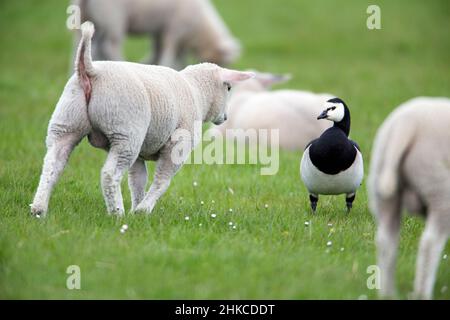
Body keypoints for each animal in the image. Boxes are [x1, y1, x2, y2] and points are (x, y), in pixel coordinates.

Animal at [31, 21, 253, 218]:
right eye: (229, 87)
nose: (225, 117)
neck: (197, 92)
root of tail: (91, 70)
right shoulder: (176, 147)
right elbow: (162, 181)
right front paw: (143, 210)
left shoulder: (140, 153)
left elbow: (138, 180)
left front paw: (136, 209)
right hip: (126, 132)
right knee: (109, 174)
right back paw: (116, 213)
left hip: (67, 122)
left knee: (52, 164)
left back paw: (38, 209)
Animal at [72, 0, 241, 69]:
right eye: (223, 63)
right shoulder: (174, 30)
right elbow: (167, 54)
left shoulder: (160, 33)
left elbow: (161, 55)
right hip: (114, 18)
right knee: (110, 46)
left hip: (86, 17)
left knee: (82, 46)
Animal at [370, 96, 450, 298]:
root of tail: (406, 125)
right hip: (440, 189)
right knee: (430, 244)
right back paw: (422, 293)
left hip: (384, 189)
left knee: (386, 242)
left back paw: (388, 293)